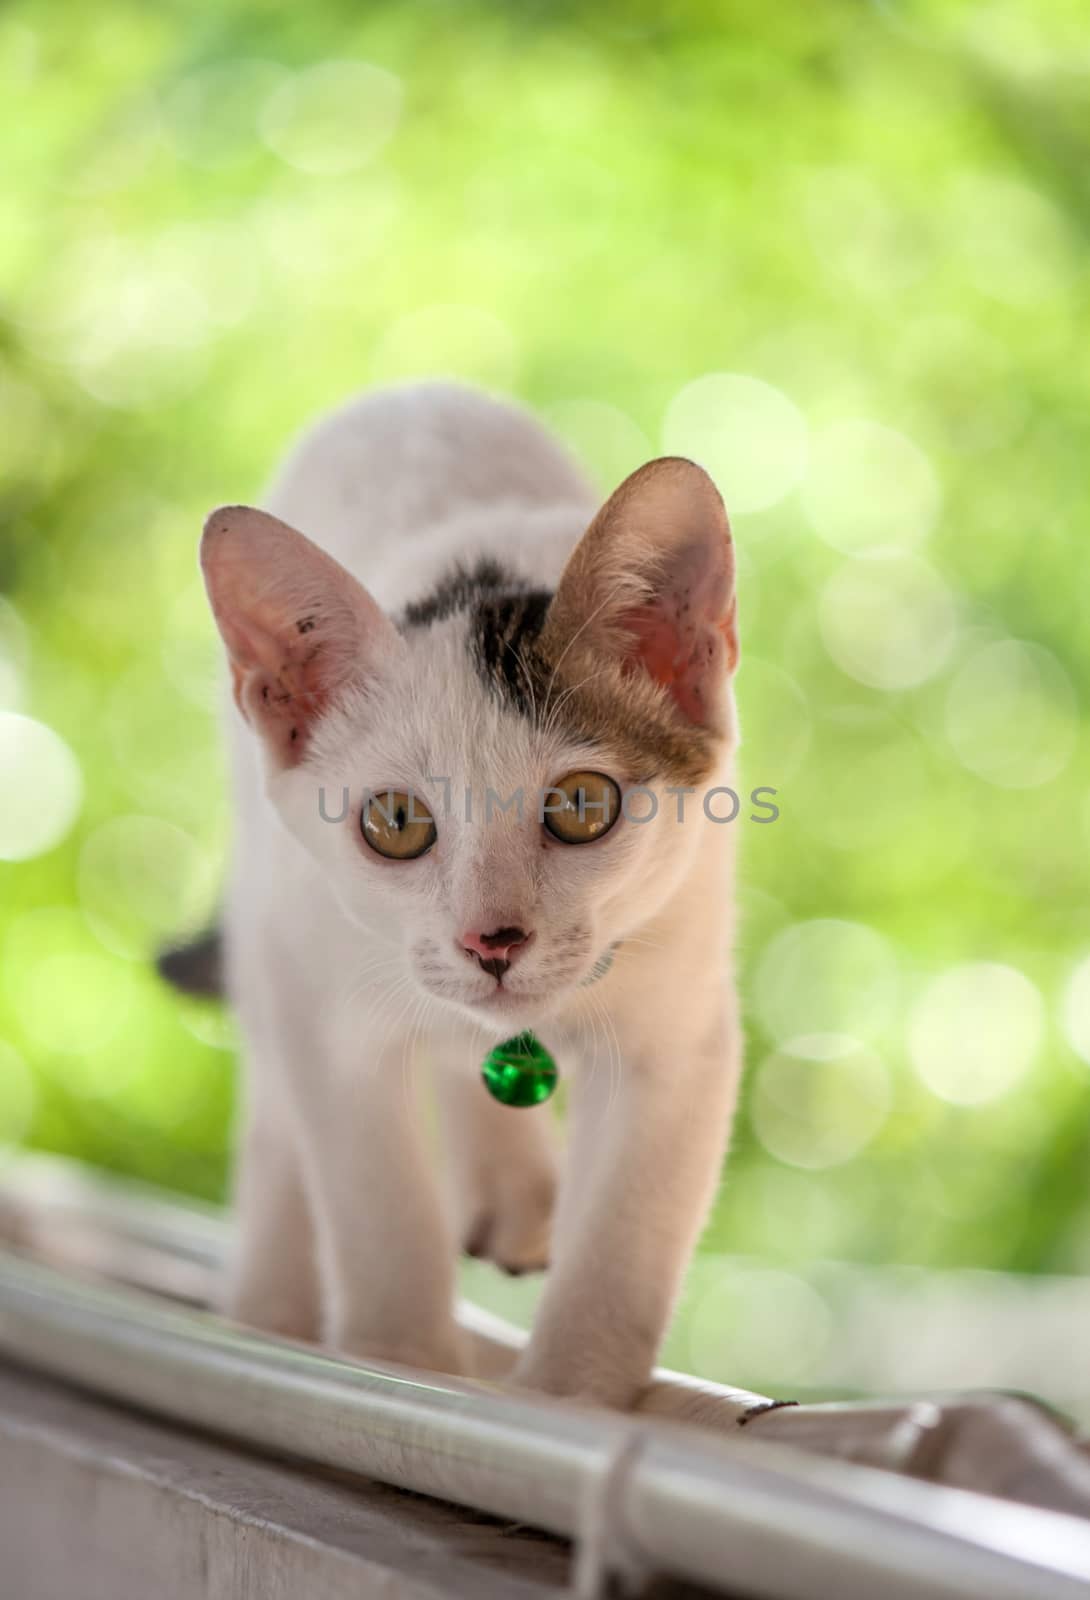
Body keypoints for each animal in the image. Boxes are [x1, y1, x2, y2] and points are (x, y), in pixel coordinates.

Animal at [193, 380, 739, 1408]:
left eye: (581, 806)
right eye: (397, 822)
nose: (495, 940)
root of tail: (405, 390)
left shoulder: (680, 1013)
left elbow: (626, 1240)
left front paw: (570, 1394)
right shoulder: (321, 995)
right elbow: (376, 1205)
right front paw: (398, 1362)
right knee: (280, 1104)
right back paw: (270, 1298)